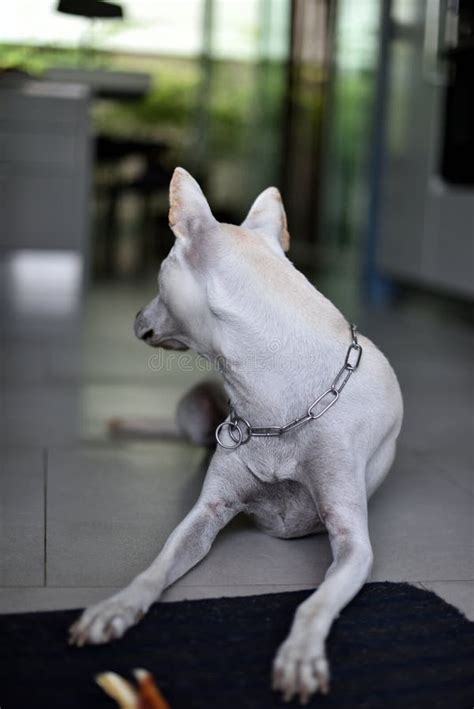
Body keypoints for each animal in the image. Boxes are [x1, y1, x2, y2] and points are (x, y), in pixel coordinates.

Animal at [70, 167, 404, 704]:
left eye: (159, 279)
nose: (135, 318)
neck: (276, 402)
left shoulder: (353, 542)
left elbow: (315, 602)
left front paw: (300, 656)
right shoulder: (206, 514)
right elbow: (156, 568)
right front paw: (115, 608)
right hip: (193, 412)